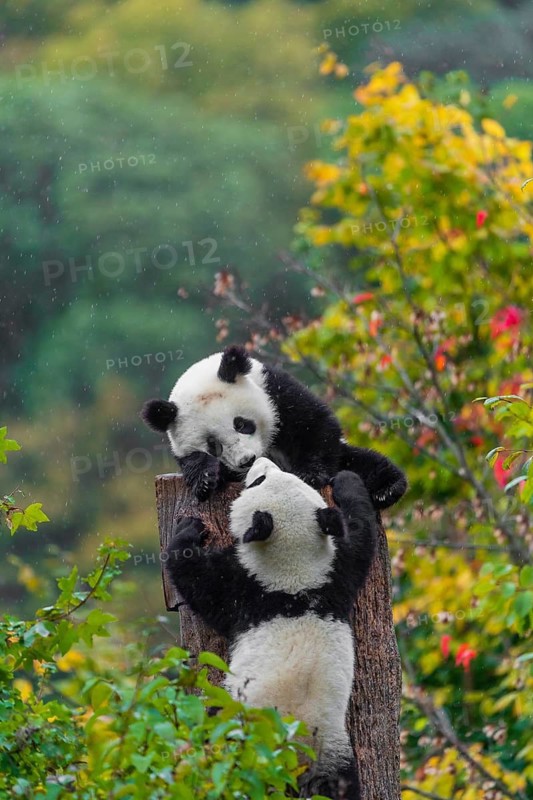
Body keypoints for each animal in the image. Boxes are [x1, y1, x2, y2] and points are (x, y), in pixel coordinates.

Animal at [142, 344, 407, 508]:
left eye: (242, 424)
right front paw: (205, 479)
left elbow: (316, 424)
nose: (247, 460)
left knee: (361, 463)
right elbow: (192, 461)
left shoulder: (275, 390)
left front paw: (310, 474)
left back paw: (387, 488)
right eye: (213, 445)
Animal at [164, 457, 377, 800]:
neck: (295, 574)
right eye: (265, 476)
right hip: (336, 756)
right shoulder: (336, 576)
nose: (258, 461)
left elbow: (196, 578)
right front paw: (348, 481)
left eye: (258, 481)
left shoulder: (246, 588)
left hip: (235, 725)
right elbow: (359, 533)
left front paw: (188, 530)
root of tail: (293, 755)